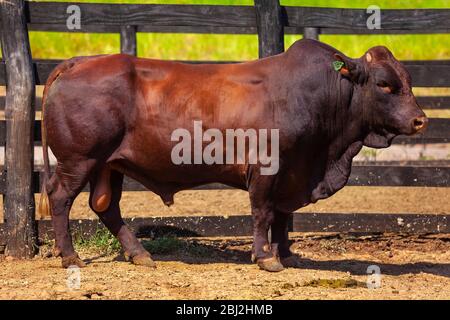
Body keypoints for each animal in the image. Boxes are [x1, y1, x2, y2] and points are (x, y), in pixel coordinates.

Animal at [37, 38, 426, 272]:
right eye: (385, 84)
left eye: (408, 80)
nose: (420, 120)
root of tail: (78, 62)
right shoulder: (267, 168)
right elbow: (263, 213)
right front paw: (266, 257)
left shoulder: (292, 173)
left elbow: (282, 216)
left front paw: (285, 253)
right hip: (79, 161)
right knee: (60, 197)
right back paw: (70, 257)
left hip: (109, 165)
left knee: (105, 206)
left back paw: (140, 254)